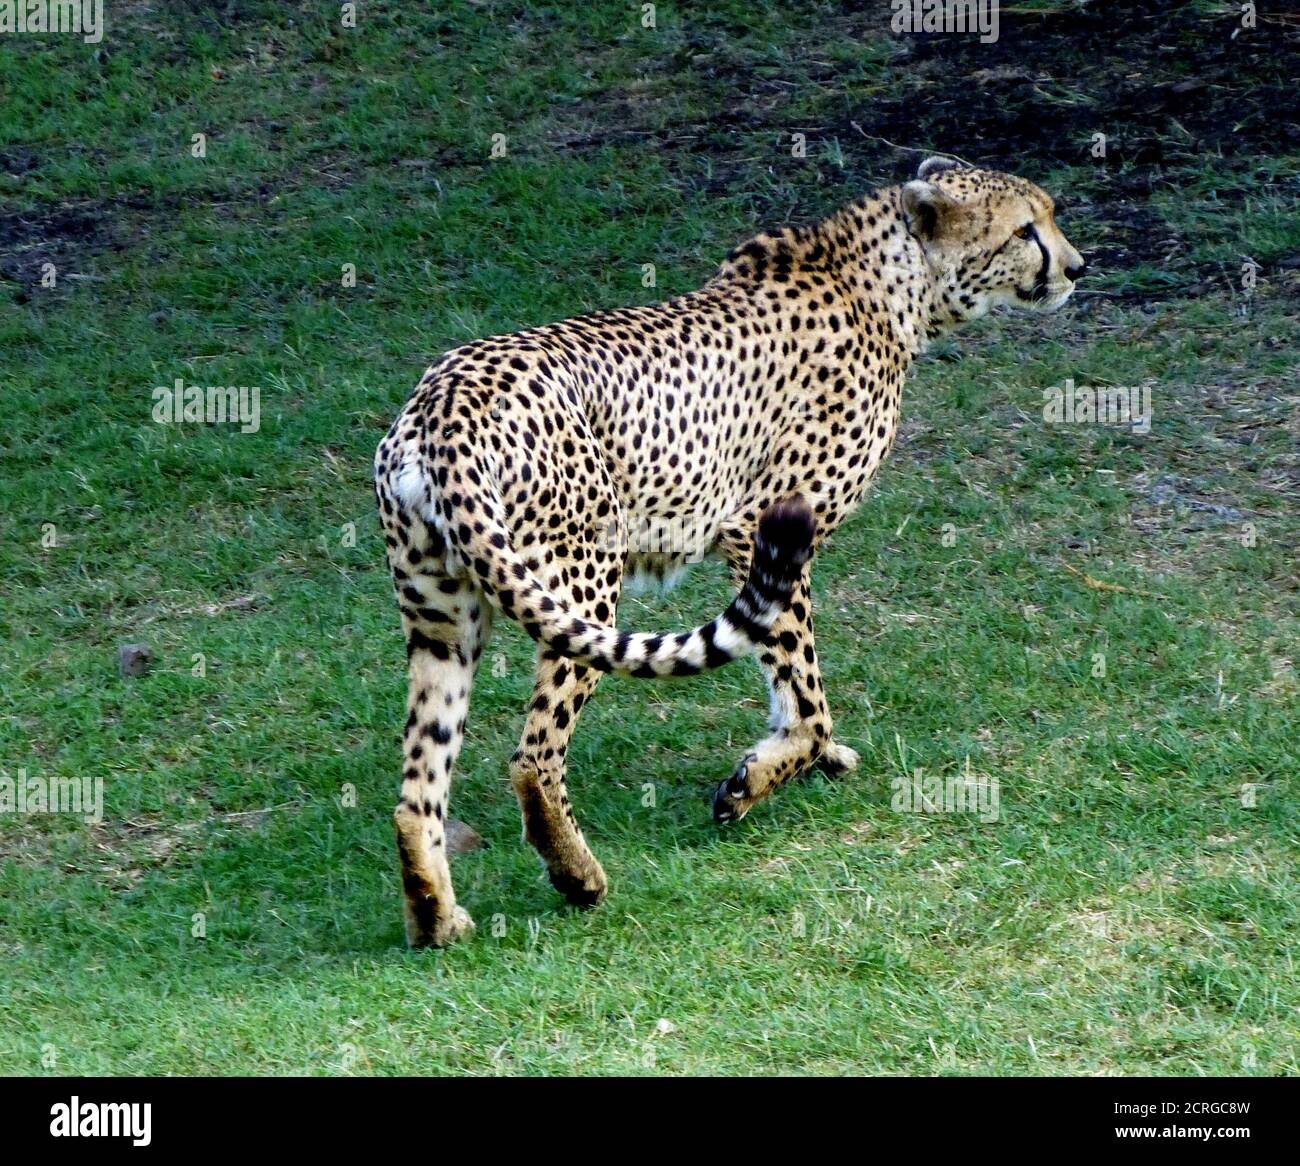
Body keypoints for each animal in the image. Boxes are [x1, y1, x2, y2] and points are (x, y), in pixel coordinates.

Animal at [371, 157, 1081, 946]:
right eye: (1026, 228)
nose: (1077, 267)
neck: (888, 284)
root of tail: (441, 400)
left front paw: (809, 759)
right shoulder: (765, 527)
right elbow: (803, 685)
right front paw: (765, 774)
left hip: (444, 619)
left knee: (418, 788)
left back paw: (437, 916)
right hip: (581, 582)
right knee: (533, 755)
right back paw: (578, 876)